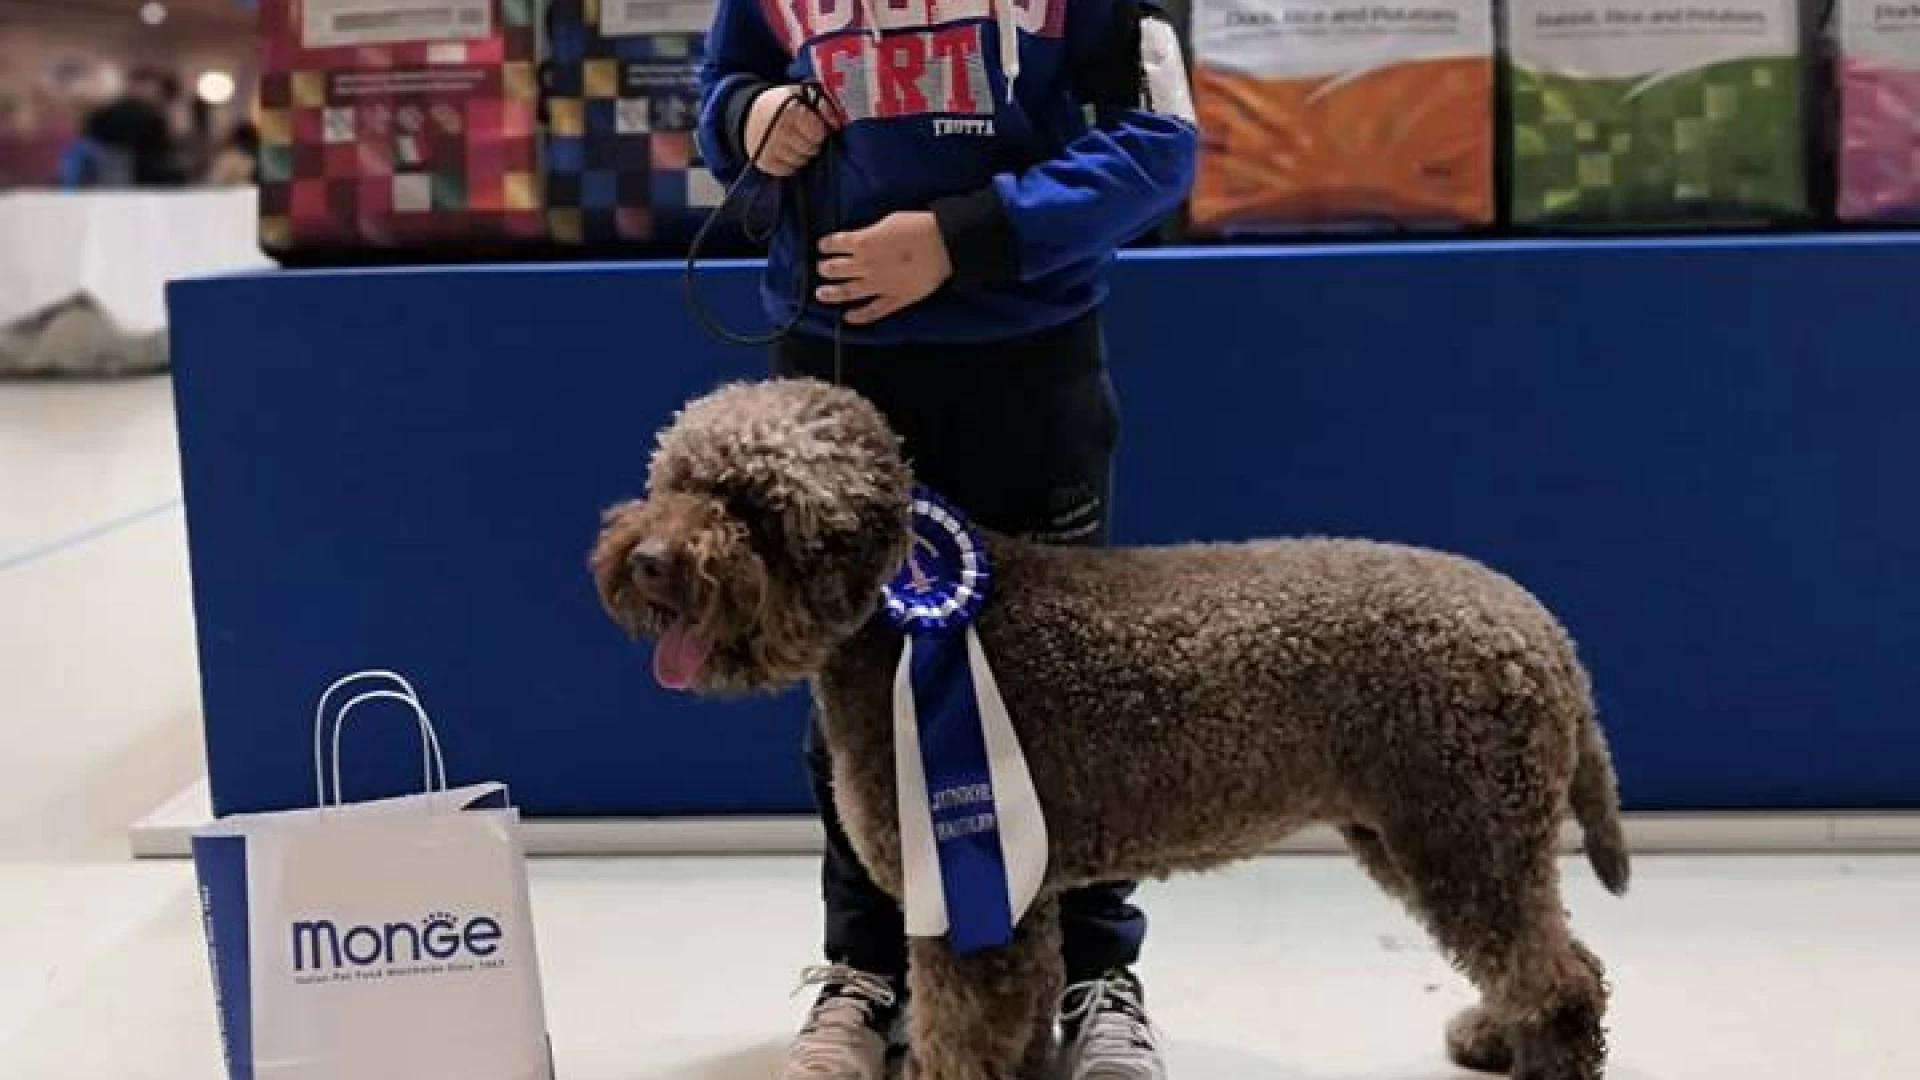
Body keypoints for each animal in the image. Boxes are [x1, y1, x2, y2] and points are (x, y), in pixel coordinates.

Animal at [591, 376, 1628, 1076]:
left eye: (753, 504)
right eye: (676, 477)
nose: (644, 561)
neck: (900, 623)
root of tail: (1544, 631)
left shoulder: (969, 891)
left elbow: (960, 1027)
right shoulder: (1013, 890)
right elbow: (1016, 1016)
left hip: (1465, 831)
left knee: (1564, 975)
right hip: (1423, 833)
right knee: (1541, 957)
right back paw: (1495, 1033)